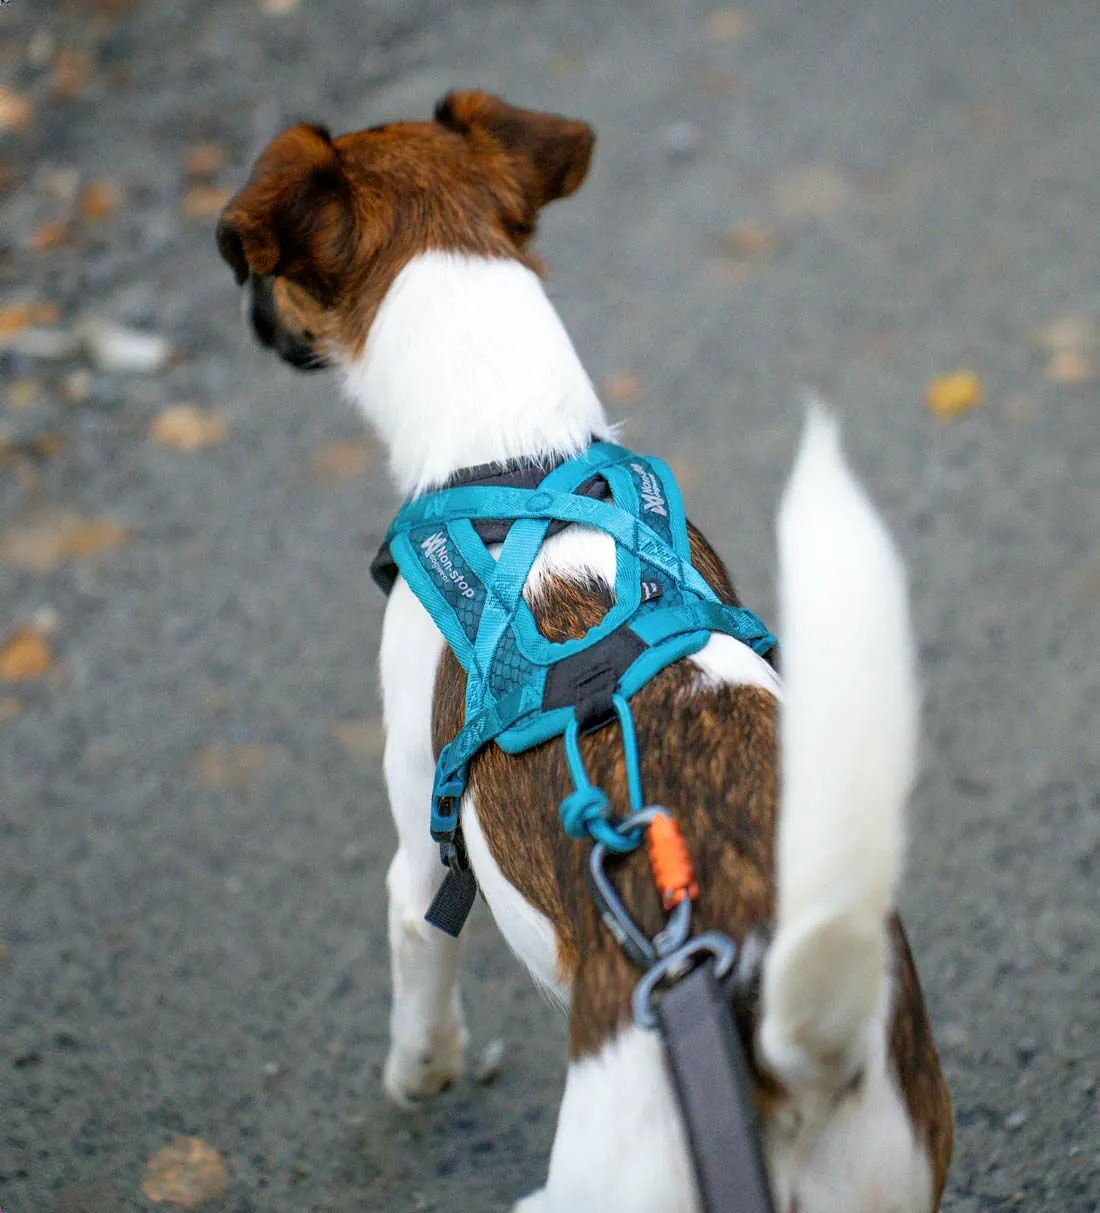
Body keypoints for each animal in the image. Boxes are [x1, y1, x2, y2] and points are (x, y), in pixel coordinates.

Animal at [217, 90, 953, 1213]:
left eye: (274, 277)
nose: (256, 322)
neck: (518, 451)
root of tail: (792, 1050)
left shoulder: (416, 860)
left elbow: (418, 979)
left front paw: (417, 1075)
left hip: (597, 1181)